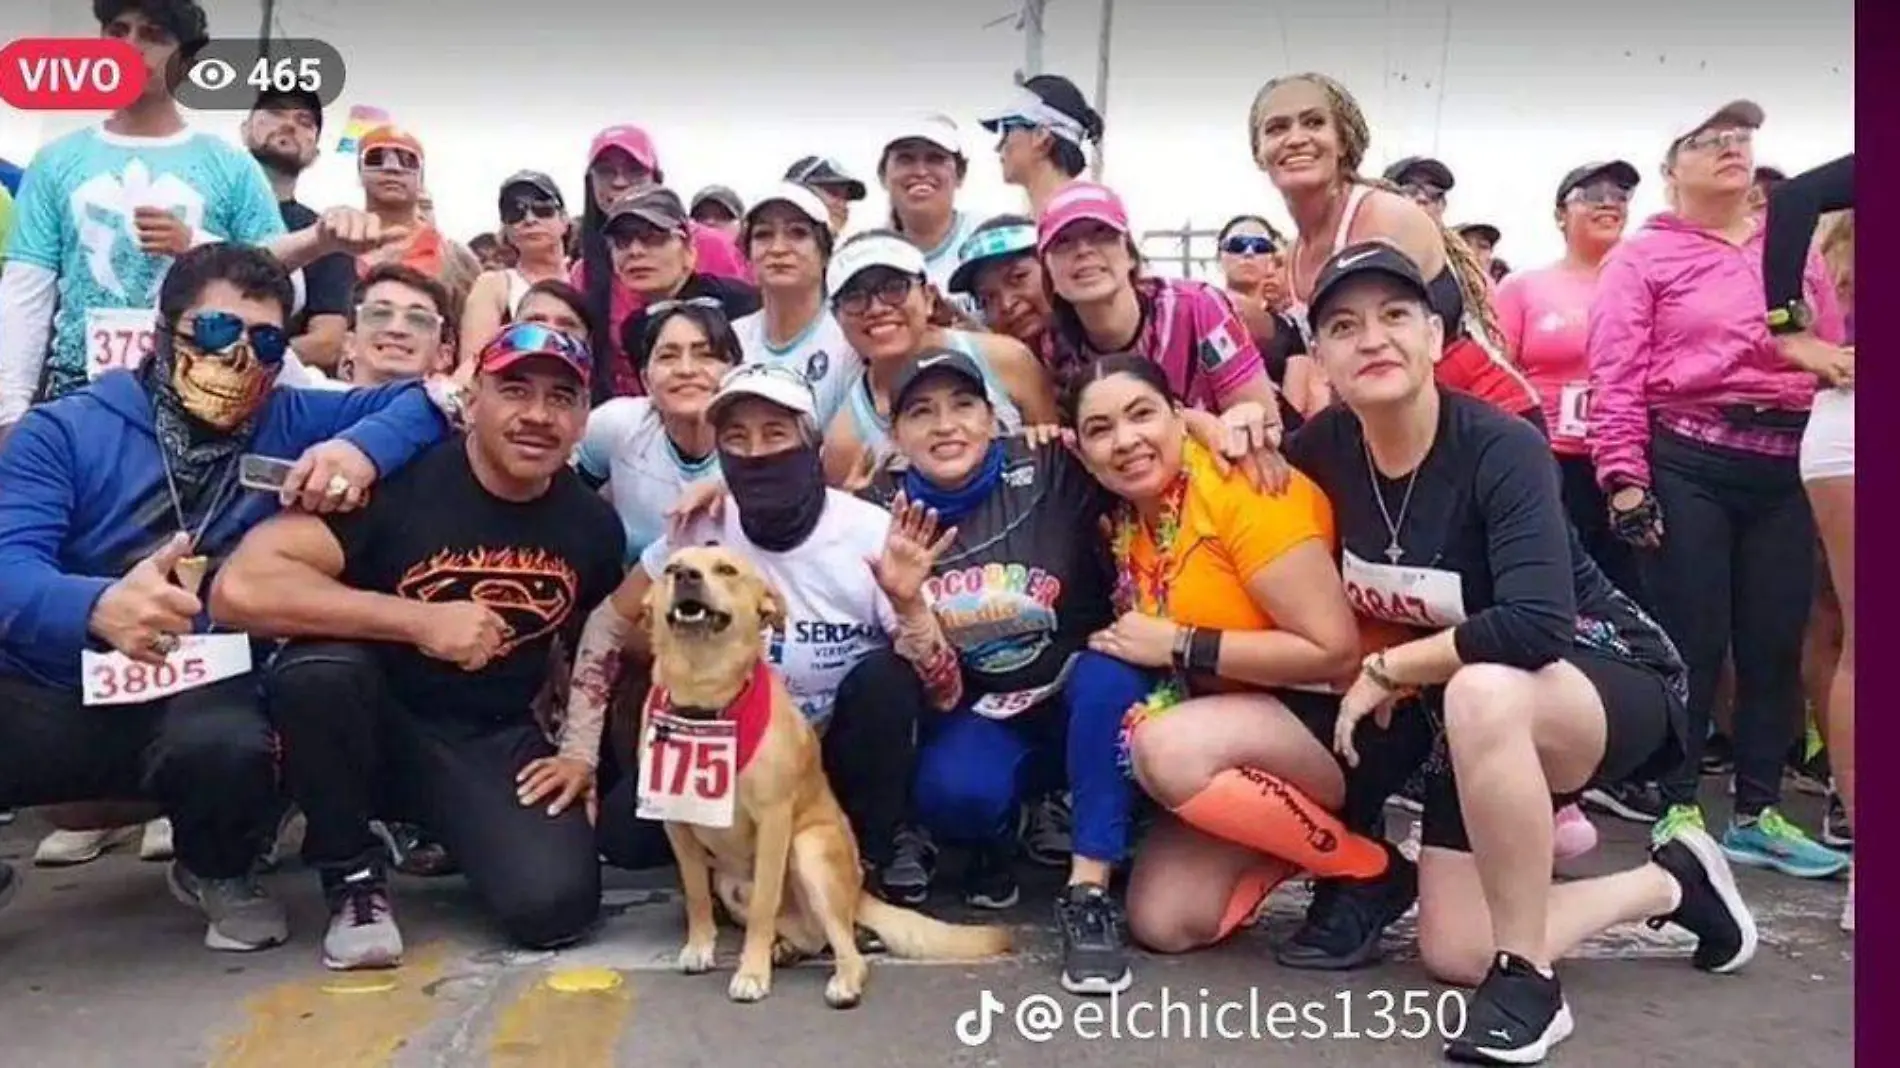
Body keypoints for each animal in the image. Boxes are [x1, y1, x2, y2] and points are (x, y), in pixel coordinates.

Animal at [646, 543, 1018, 1003]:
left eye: (726, 570)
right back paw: (785, 949)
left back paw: (838, 979)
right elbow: (696, 893)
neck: (706, 695)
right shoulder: (676, 822)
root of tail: (857, 892)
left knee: (843, 946)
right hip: (732, 885)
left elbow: (763, 905)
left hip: (809, 851)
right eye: (671, 568)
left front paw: (751, 973)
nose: (686, 577)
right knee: (809, 935)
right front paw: (700, 947)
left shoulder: (774, 820)